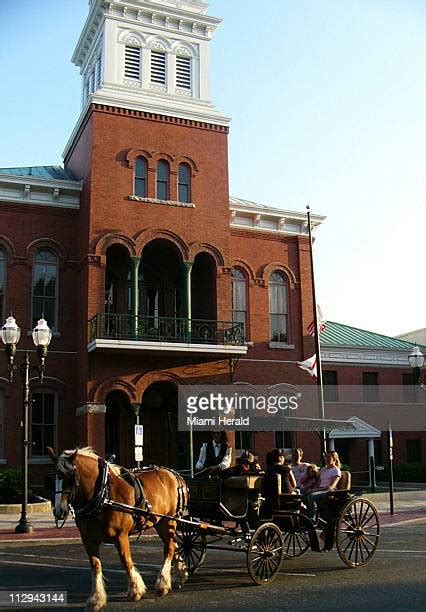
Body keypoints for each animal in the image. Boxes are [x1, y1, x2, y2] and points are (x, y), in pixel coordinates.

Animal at [45, 448, 189, 608]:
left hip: (168, 521)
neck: (103, 494)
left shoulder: (120, 535)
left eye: (70, 476)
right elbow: (95, 565)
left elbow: (126, 561)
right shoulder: (88, 539)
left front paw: (135, 590)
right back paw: (179, 575)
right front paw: (96, 598)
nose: (59, 511)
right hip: (160, 522)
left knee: (169, 548)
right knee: (174, 545)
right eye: (54, 477)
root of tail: (174, 474)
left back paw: (162, 583)